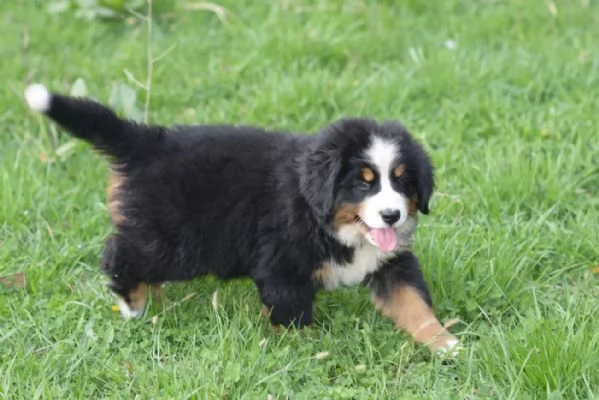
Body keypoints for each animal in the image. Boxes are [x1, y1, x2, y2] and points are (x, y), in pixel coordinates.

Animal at [23, 83, 462, 354]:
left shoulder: (391, 263)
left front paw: (444, 343)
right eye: (363, 183)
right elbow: (292, 315)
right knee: (119, 251)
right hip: (176, 242)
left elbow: (413, 303)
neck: (330, 223)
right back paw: (133, 303)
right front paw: (307, 350)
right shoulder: (281, 266)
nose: (392, 215)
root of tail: (148, 140)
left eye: (402, 181)